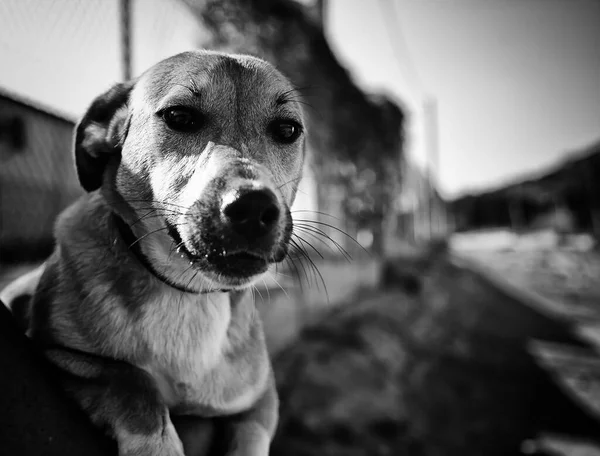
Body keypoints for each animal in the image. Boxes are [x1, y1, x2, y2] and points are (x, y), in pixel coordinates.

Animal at [2, 48, 308, 454]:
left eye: (287, 130)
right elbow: (131, 379)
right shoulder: (53, 353)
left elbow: (249, 437)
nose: (254, 208)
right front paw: (156, 443)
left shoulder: (262, 400)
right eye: (179, 117)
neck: (187, 292)